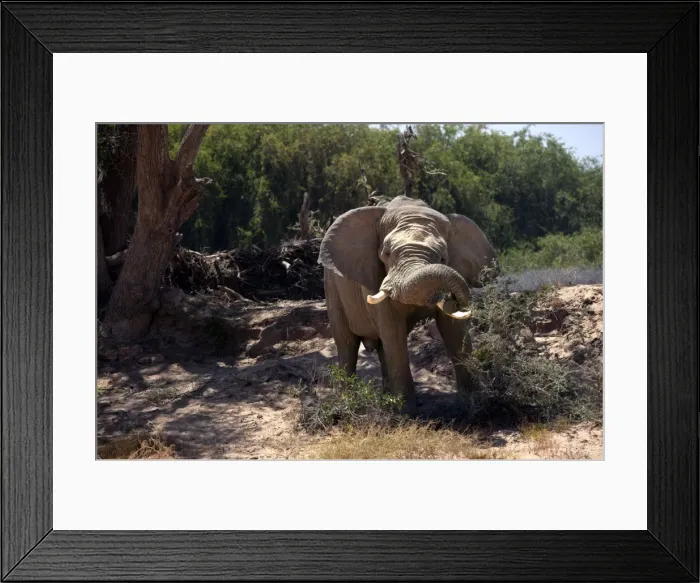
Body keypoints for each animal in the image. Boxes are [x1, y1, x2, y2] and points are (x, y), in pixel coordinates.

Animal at [318, 195, 499, 415]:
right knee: (347, 343)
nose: (454, 298)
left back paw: (386, 399)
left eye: (443, 258)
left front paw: (475, 404)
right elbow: (393, 330)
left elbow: (454, 331)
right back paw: (346, 402)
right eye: (386, 254)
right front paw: (407, 412)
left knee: (381, 347)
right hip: (331, 287)